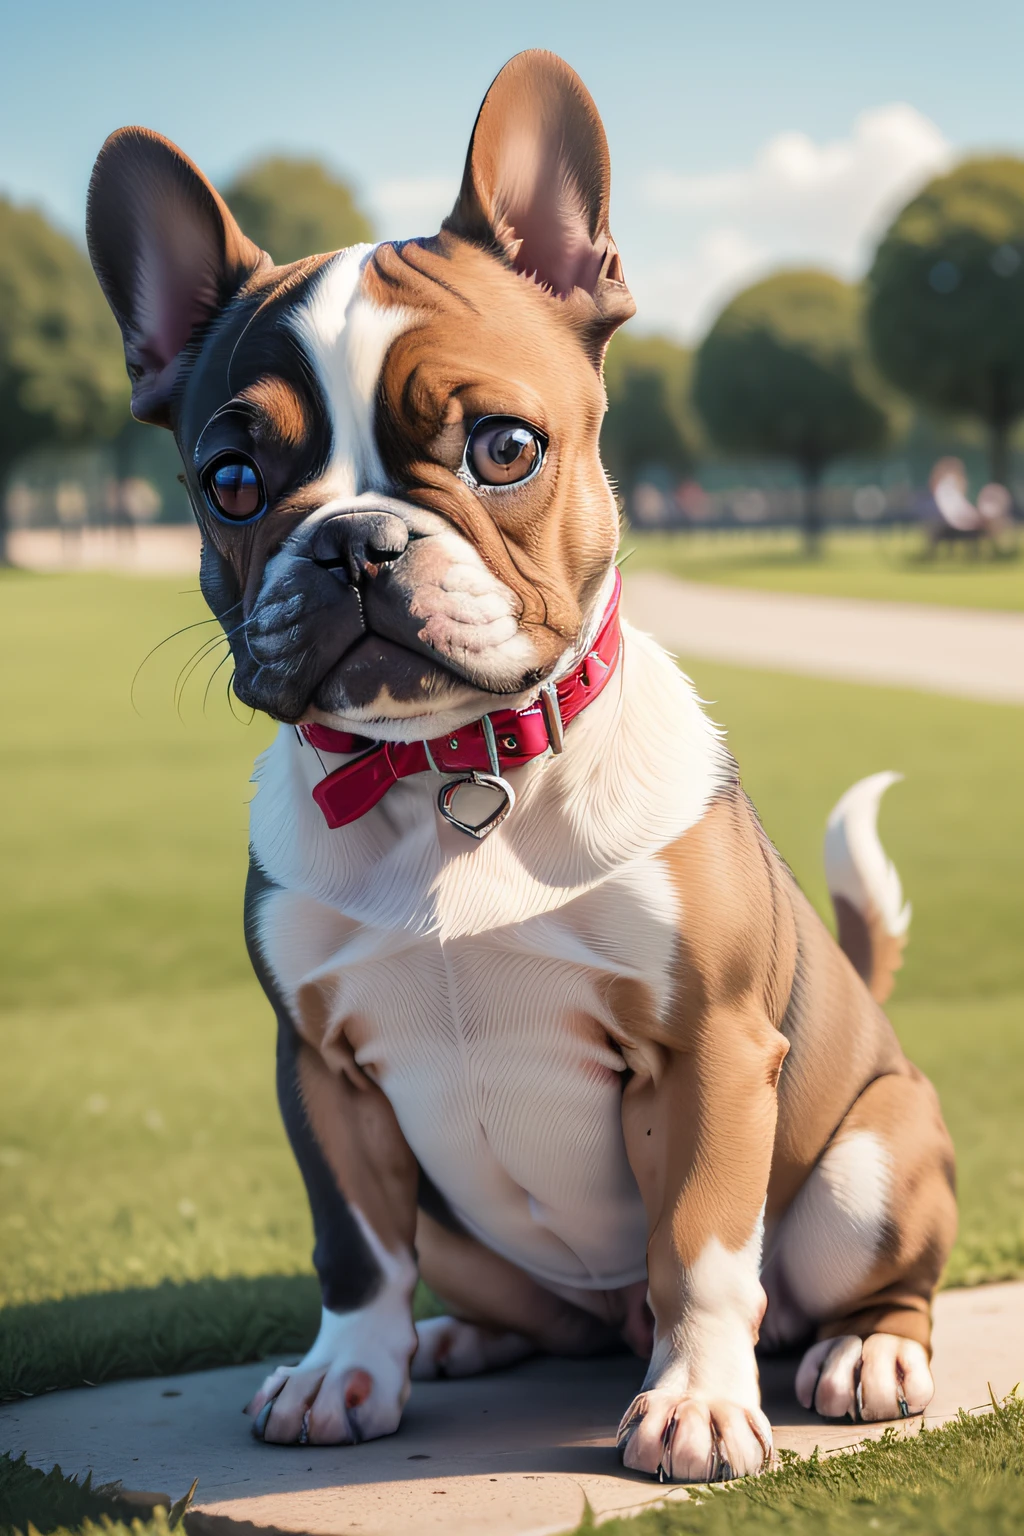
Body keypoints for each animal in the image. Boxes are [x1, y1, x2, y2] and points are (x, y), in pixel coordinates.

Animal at [84, 54, 957, 1480]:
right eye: (229, 479)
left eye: (503, 447)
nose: (355, 542)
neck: (448, 771)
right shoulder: (319, 1070)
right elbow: (354, 1251)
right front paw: (346, 1373)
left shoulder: (709, 1051)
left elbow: (700, 1245)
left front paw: (697, 1403)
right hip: (470, 1229)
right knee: (506, 1299)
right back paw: (454, 1343)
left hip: (862, 1171)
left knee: (850, 1275)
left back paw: (865, 1352)